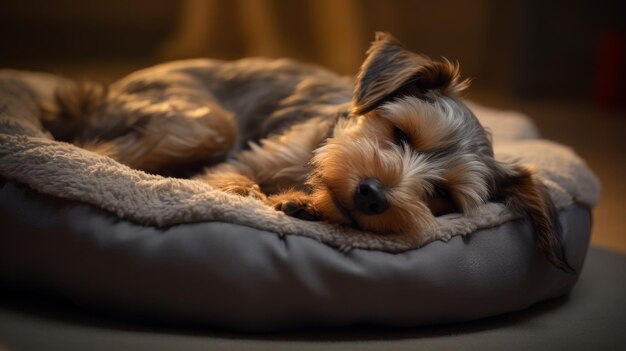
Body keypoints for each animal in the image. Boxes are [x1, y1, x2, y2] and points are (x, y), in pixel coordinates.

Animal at [41, 33, 572, 274]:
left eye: (441, 196)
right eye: (400, 134)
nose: (373, 195)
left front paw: (300, 204)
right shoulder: (254, 156)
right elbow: (230, 178)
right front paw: (269, 197)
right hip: (209, 122)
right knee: (95, 148)